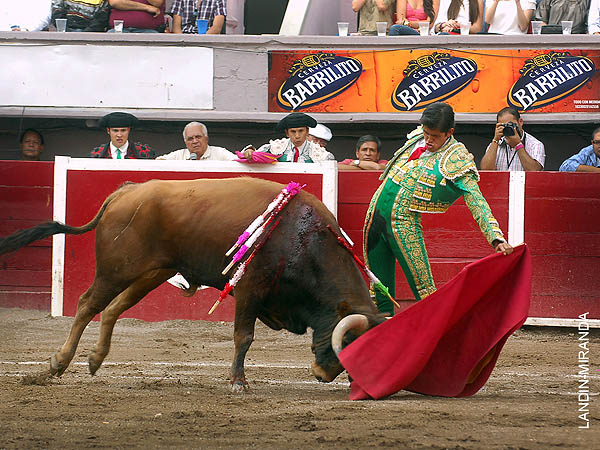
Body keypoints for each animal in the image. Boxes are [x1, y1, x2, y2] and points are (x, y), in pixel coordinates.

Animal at [0, 178, 384, 388]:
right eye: (347, 340)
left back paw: (95, 359)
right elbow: (244, 337)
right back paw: (59, 363)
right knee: (86, 305)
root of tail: (125, 192)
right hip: (114, 271)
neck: (303, 238)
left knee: (112, 309)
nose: (323, 374)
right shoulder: (248, 290)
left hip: (151, 274)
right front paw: (238, 382)